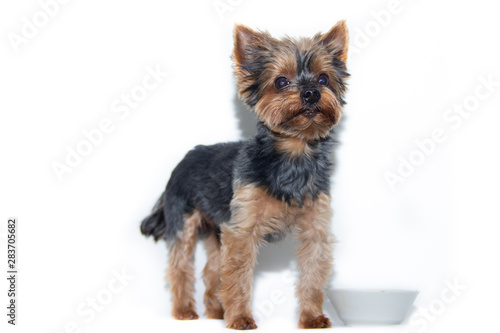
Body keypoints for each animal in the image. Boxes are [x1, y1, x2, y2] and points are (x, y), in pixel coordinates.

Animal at [141, 21, 350, 330]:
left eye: (324, 79)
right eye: (281, 82)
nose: (311, 92)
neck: (293, 153)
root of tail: (184, 160)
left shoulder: (315, 226)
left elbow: (313, 272)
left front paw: (312, 317)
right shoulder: (242, 230)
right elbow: (238, 276)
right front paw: (240, 318)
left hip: (216, 228)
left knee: (212, 269)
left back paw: (216, 310)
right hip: (182, 219)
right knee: (180, 267)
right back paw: (184, 310)